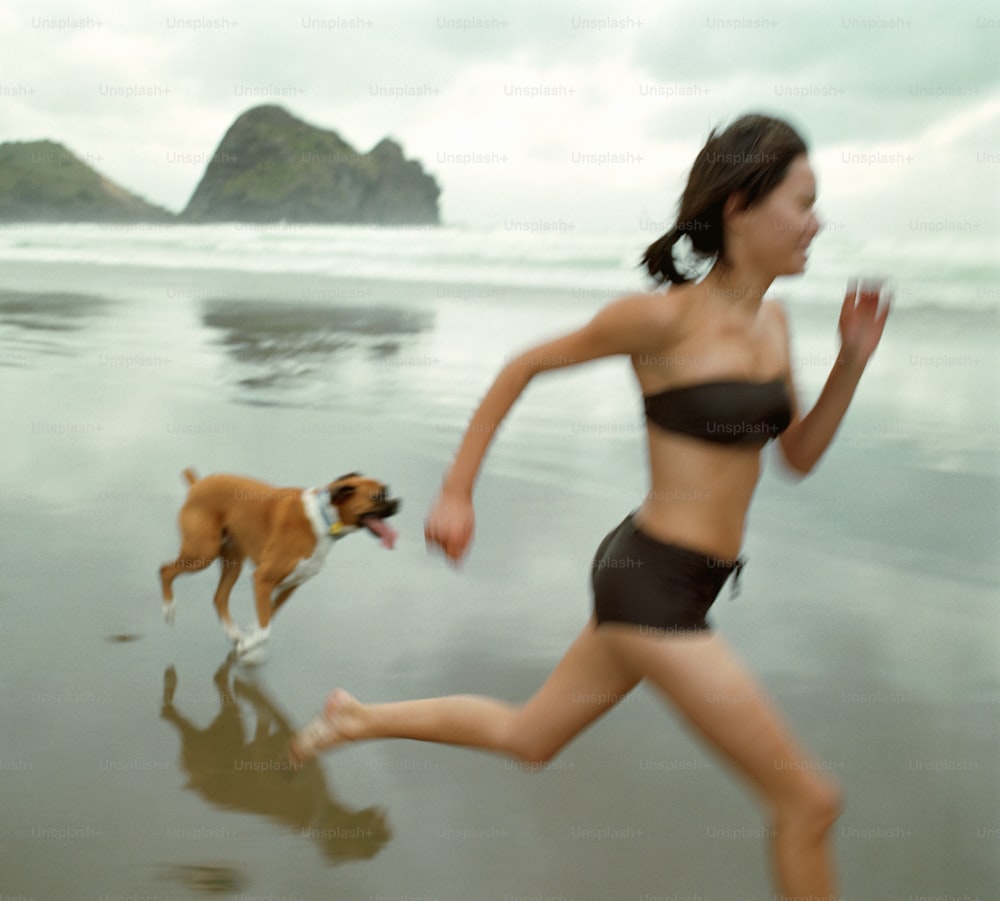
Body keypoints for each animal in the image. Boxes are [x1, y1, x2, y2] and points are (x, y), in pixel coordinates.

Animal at [160, 472, 398, 652]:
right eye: (378, 496)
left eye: (387, 491)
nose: (398, 502)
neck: (323, 519)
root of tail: (198, 483)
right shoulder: (263, 580)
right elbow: (266, 631)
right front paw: (249, 646)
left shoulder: (290, 585)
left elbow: (268, 616)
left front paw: (249, 636)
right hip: (202, 554)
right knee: (165, 570)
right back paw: (169, 608)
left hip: (232, 563)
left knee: (219, 597)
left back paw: (233, 632)